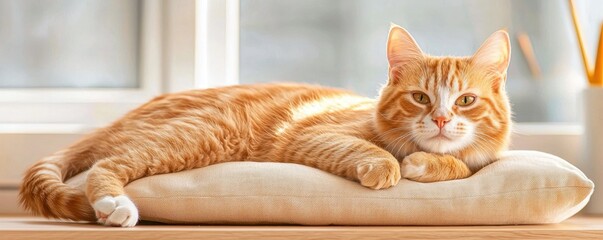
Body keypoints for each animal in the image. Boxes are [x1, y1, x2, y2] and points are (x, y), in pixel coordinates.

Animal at [18, 25, 512, 228]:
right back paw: (114, 205)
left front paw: (425, 163)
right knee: (106, 164)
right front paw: (390, 165)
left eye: (465, 100)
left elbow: (461, 166)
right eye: (421, 98)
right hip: (200, 135)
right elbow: (377, 153)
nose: (442, 119)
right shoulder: (310, 135)